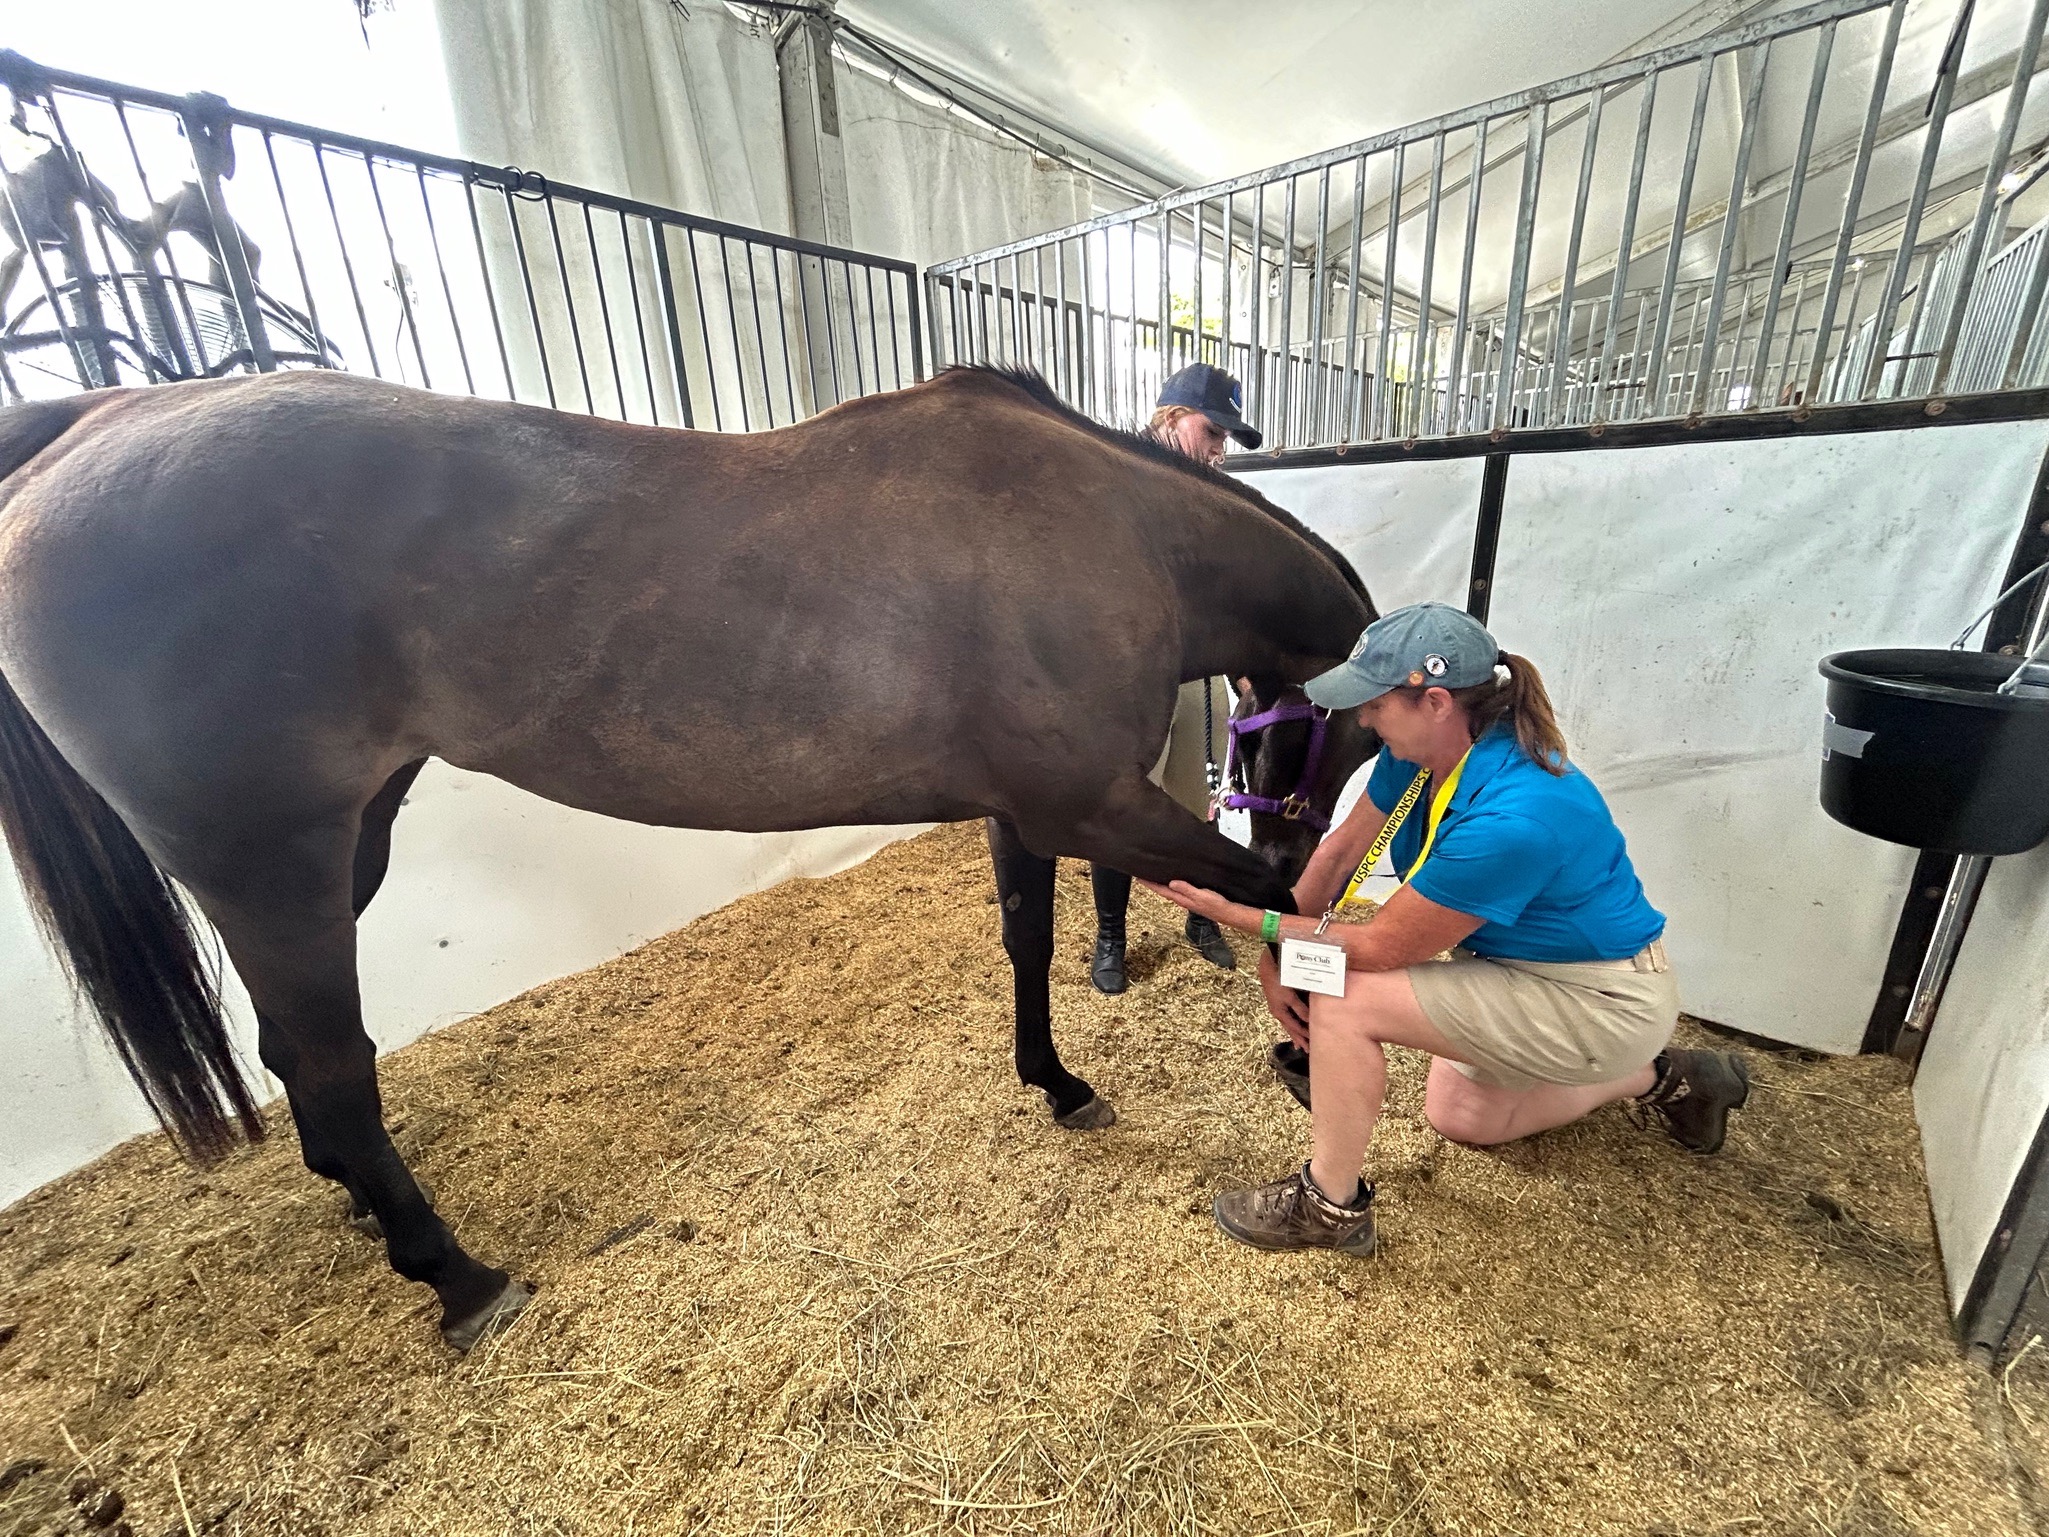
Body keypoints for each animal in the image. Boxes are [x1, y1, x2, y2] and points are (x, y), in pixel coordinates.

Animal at [4, 364, 1376, 1344]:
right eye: (1356, 742)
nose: (1311, 828)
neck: (1112, 529)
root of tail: (95, 425)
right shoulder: (1091, 804)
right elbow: (1275, 911)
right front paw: (1304, 1053)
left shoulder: (1025, 811)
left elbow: (1027, 943)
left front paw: (1056, 1081)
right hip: (267, 859)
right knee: (335, 1068)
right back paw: (457, 1278)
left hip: (340, 846)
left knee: (296, 1057)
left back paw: (358, 1205)